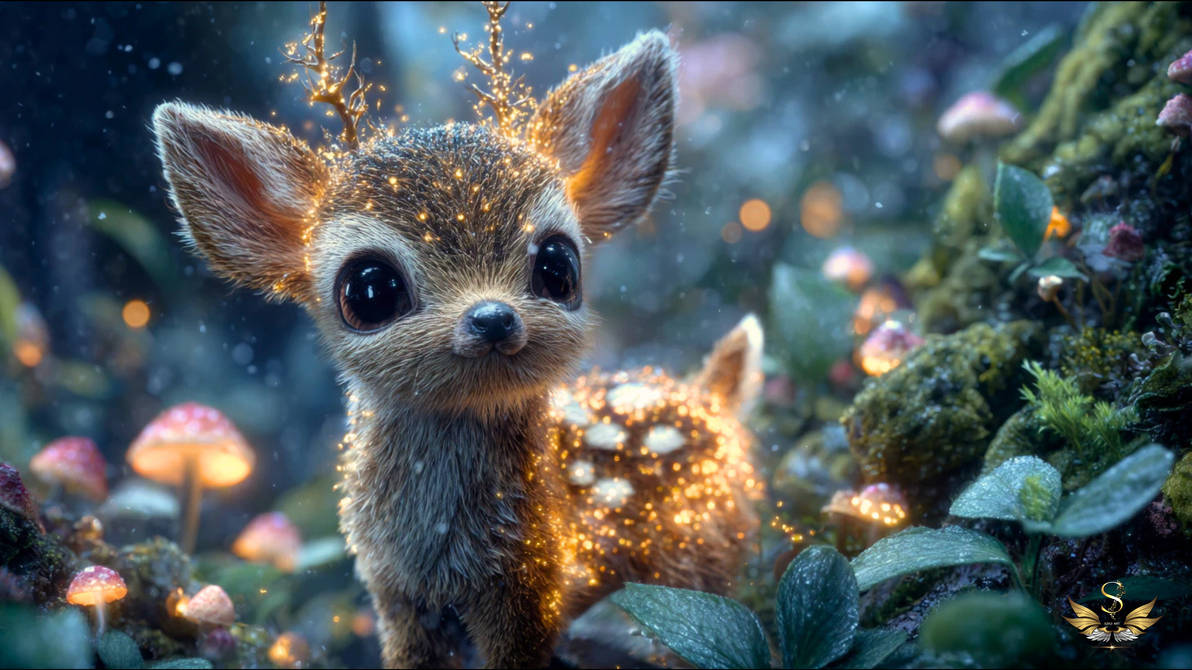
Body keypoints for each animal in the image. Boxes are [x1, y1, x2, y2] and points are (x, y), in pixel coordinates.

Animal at [152, 17, 763, 667]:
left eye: (559, 266)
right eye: (369, 290)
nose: (492, 318)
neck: (442, 547)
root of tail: (711, 395)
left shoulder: (531, 582)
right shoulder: (394, 589)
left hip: (698, 551)